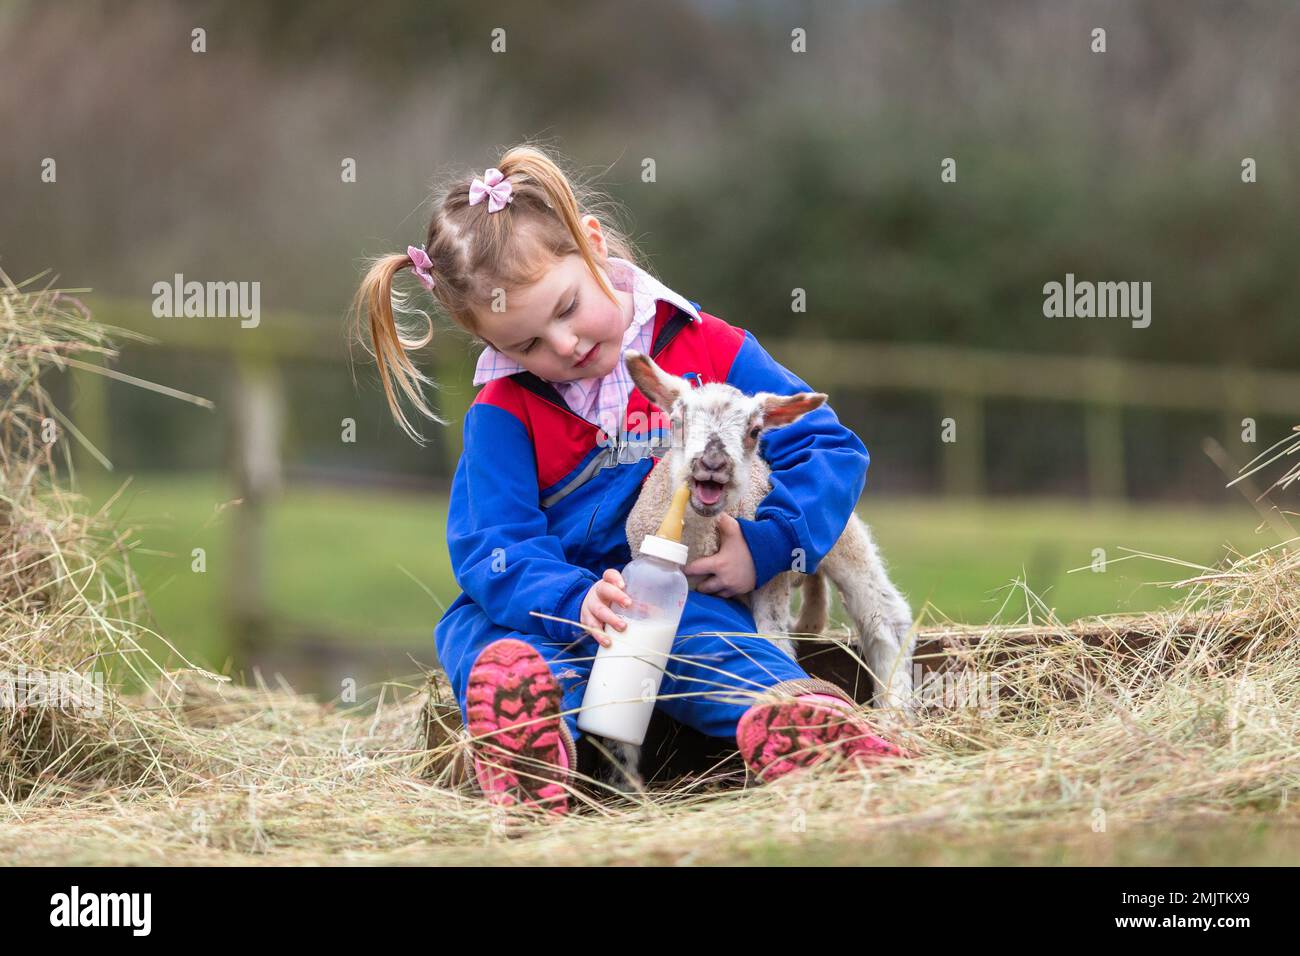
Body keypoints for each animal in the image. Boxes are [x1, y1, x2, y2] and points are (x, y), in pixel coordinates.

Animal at [590, 351, 915, 790]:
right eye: (678, 418)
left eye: (755, 430)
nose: (713, 463)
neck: (696, 543)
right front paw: (625, 782)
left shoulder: (768, 582)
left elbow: (773, 643)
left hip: (840, 533)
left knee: (884, 618)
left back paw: (895, 715)